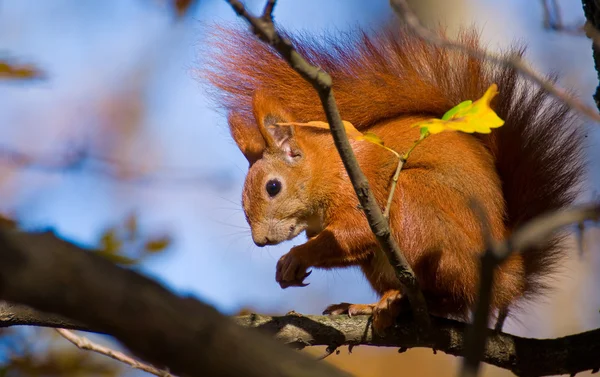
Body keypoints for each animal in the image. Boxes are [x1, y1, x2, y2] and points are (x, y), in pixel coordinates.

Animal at [199, 23, 584, 330]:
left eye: (273, 187)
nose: (260, 241)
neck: (328, 167)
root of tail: (505, 277)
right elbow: (350, 248)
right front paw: (290, 269)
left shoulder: (359, 194)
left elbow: (357, 232)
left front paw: (295, 257)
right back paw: (369, 305)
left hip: (419, 207)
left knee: (446, 294)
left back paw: (397, 299)